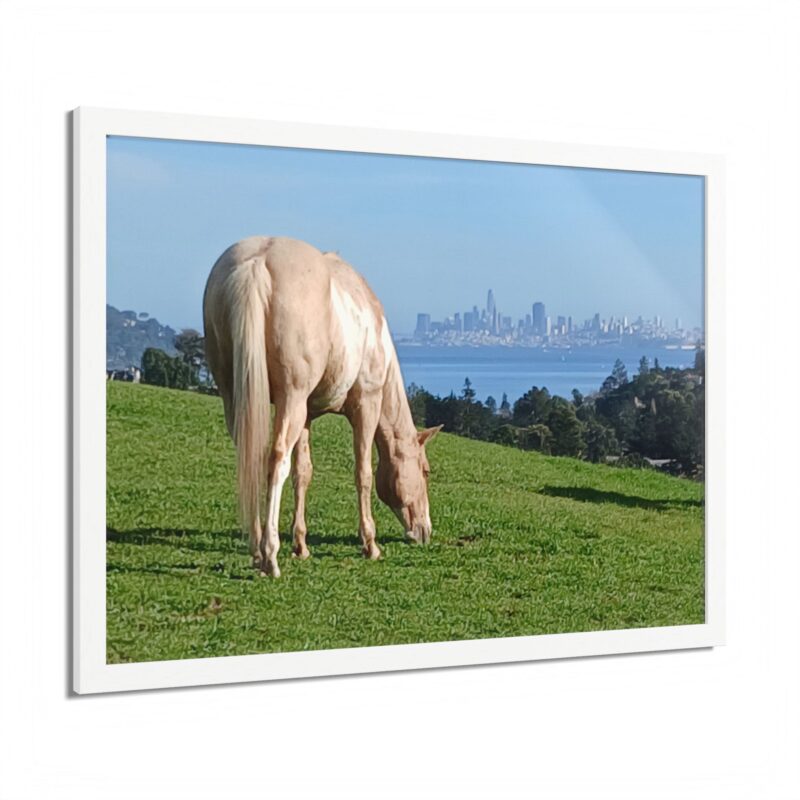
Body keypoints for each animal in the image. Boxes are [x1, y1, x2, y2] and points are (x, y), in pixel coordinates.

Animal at [203, 235, 441, 577]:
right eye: (425, 471)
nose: (425, 530)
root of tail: (257, 263)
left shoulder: (308, 414)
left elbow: (303, 473)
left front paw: (301, 545)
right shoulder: (365, 406)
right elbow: (363, 473)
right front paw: (370, 544)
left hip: (239, 397)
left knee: (251, 457)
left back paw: (257, 549)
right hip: (290, 398)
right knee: (277, 460)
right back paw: (269, 554)